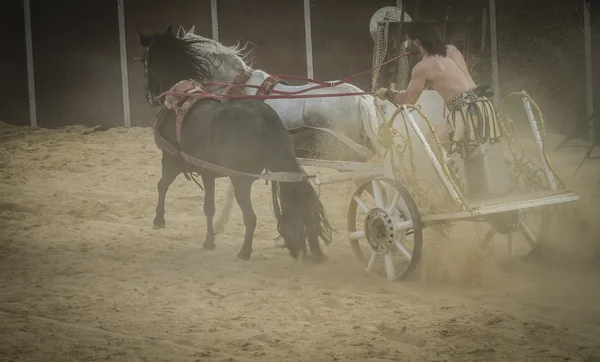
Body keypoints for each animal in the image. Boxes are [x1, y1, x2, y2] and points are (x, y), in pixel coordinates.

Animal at [139, 26, 332, 264]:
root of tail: (263, 119)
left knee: (251, 217)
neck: (181, 99)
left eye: (144, 60)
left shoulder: (171, 159)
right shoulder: (208, 172)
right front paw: (209, 241)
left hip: (241, 181)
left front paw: (159, 220)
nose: (149, 96)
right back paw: (313, 250)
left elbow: (162, 185)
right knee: (301, 201)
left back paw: (244, 251)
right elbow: (209, 207)